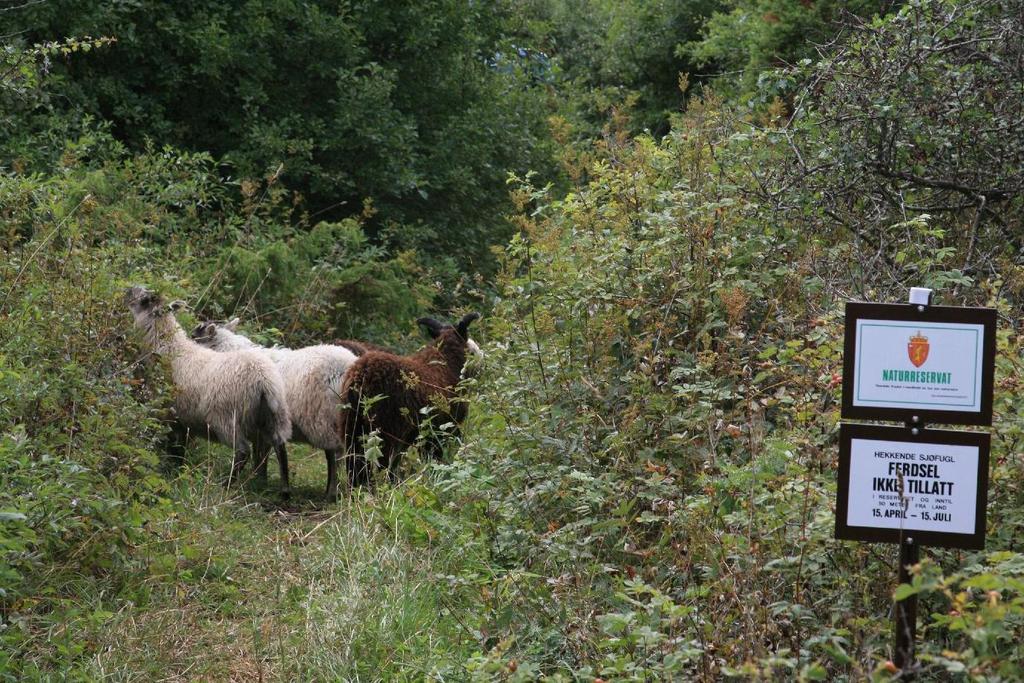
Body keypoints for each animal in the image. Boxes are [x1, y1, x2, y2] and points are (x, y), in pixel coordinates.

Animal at [124, 284, 292, 497]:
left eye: (145, 300)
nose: (128, 290)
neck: (171, 349)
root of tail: (264, 380)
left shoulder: (169, 414)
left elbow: (174, 448)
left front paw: (173, 471)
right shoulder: (183, 419)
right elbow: (180, 449)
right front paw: (178, 470)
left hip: (226, 418)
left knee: (243, 451)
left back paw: (227, 485)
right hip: (274, 415)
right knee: (280, 447)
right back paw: (284, 489)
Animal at [190, 317, 358, 501]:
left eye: (194, 337)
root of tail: (346, 367)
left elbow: (261, 454)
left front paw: (257, 480)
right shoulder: (261, 427)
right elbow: (262, 454)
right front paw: (260, 479)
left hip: (321, 416)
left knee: (333, 454)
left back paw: (331, 493)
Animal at [335, 315, 479, 485]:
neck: (446, 361)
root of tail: (362, 377)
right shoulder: (443, 430)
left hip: (352, 431)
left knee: (356, 471)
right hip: (387, 434)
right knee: (385, 469)